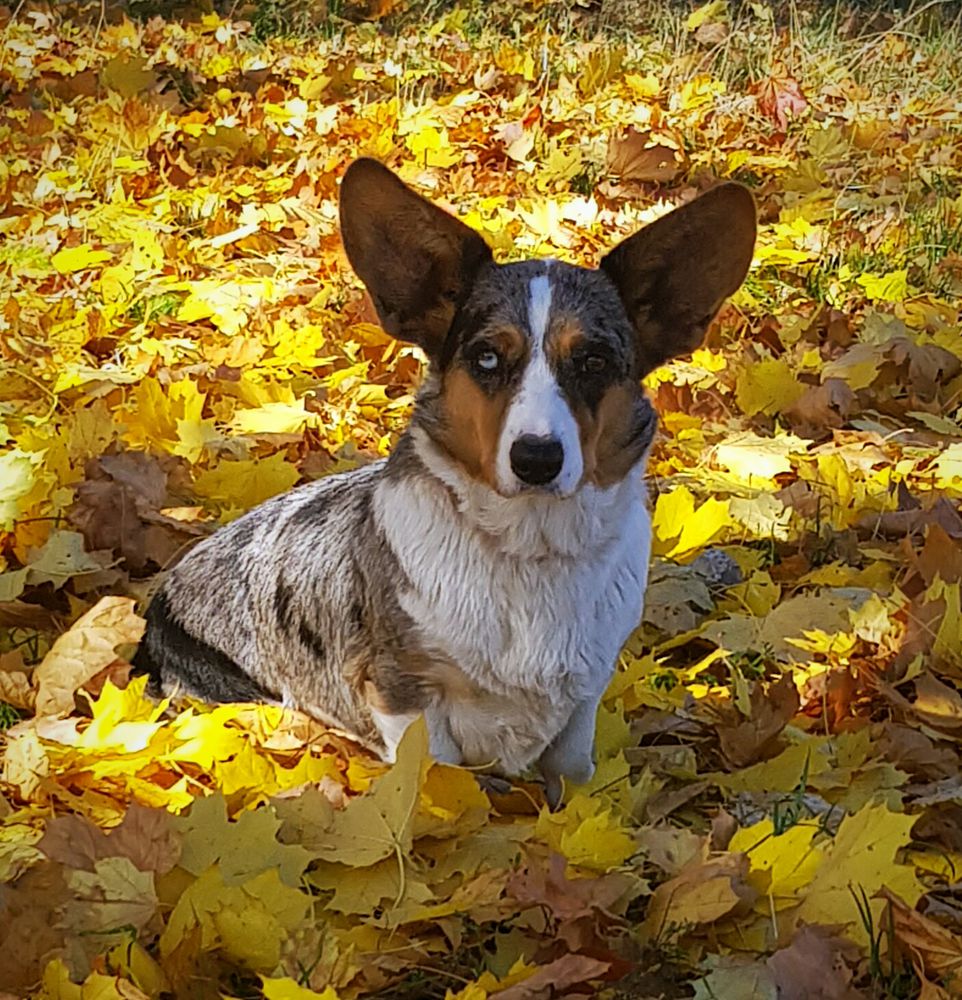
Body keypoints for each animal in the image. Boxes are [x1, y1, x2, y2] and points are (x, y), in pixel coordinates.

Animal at [131, 158, 752, 804]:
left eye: (593, 361)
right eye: (486, 357)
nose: (536, 459)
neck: (529, 548)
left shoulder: (583, 704)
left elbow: (571, 777)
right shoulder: (405, 697)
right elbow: (440, 779)